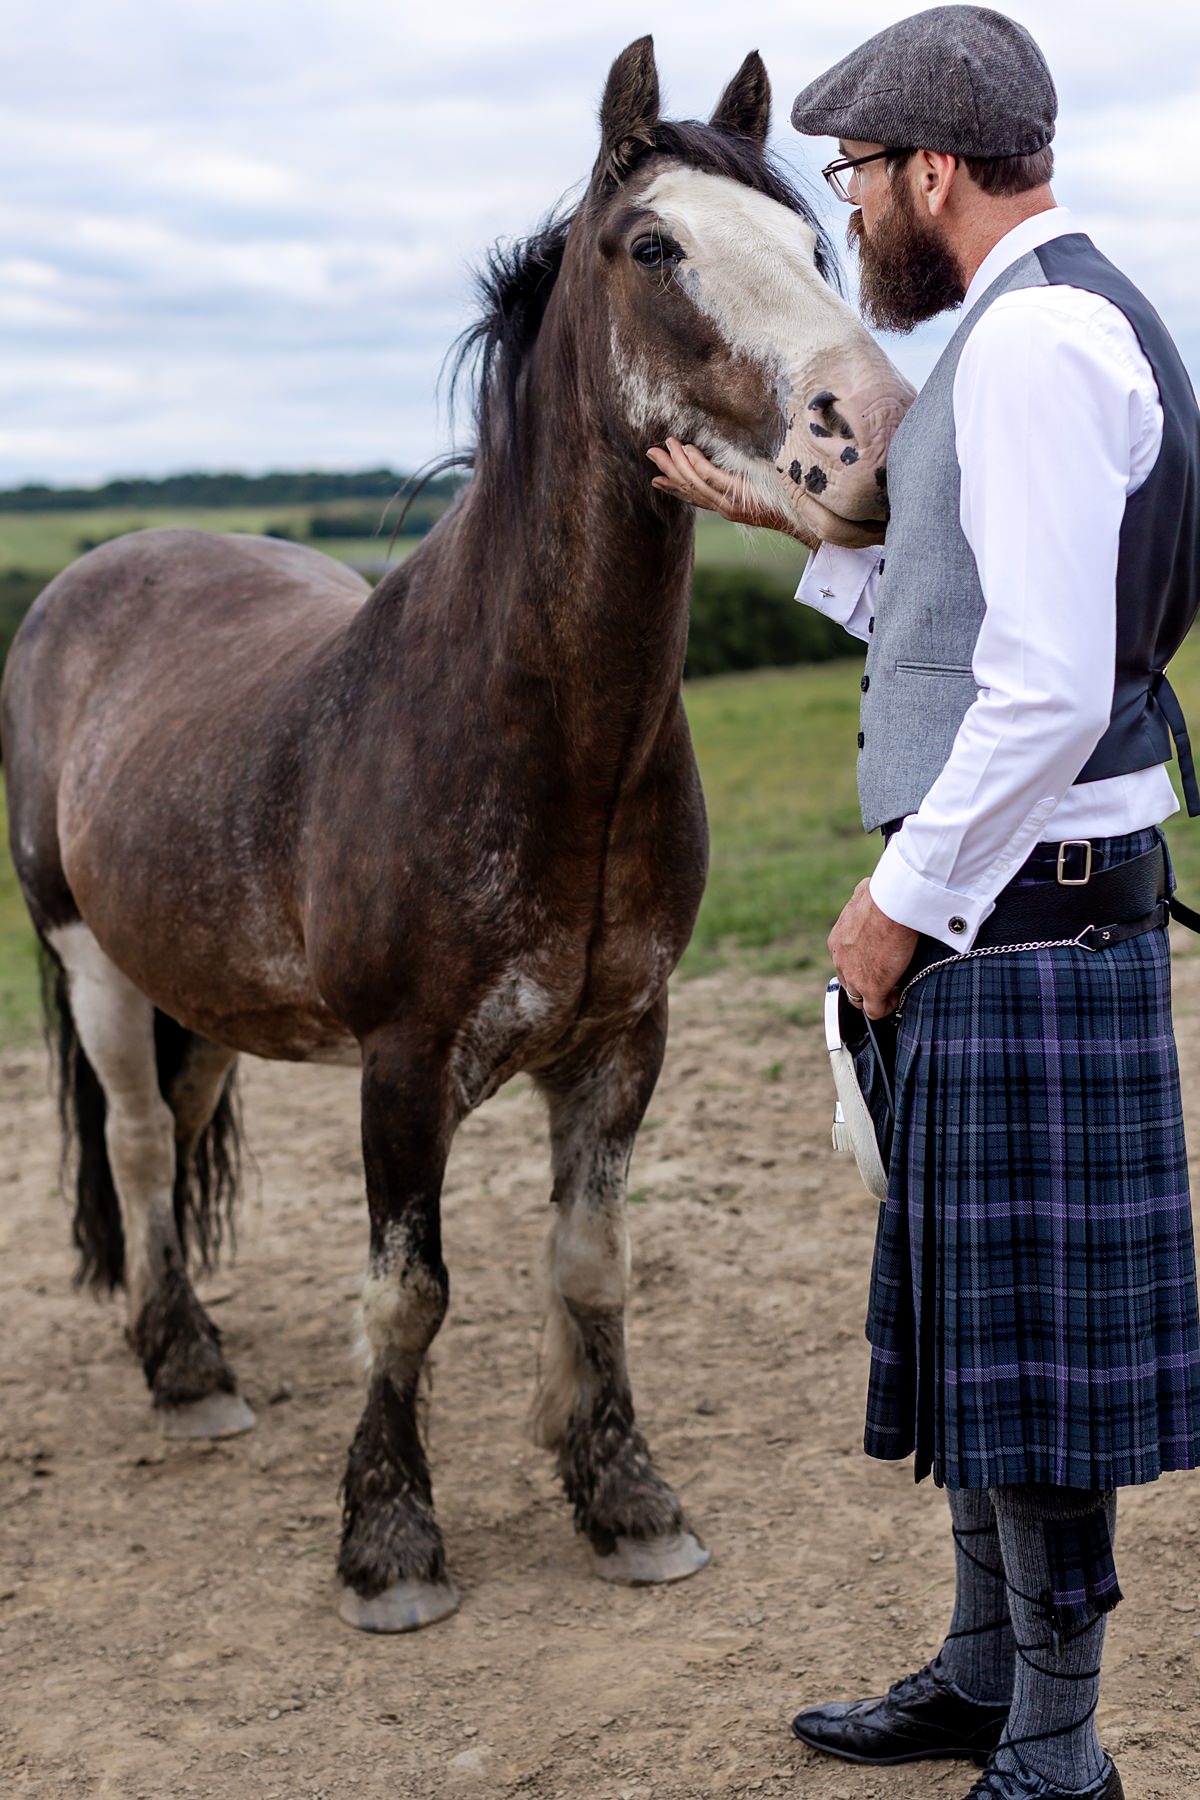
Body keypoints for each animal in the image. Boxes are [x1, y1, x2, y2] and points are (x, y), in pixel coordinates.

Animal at [1, 37, 911, 1631]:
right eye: (654, 249)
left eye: (813, 247)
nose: (878, 436)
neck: (534, 735)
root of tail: (88, 581)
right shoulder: (405, 1064)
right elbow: (408, 1292)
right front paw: (391, 1540)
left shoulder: (622, 1042)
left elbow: (592, 1267)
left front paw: (625, 1499)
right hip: (93, 966)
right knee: (133, 1142)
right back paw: (186, 1373)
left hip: (202, 990)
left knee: (179, 1126)